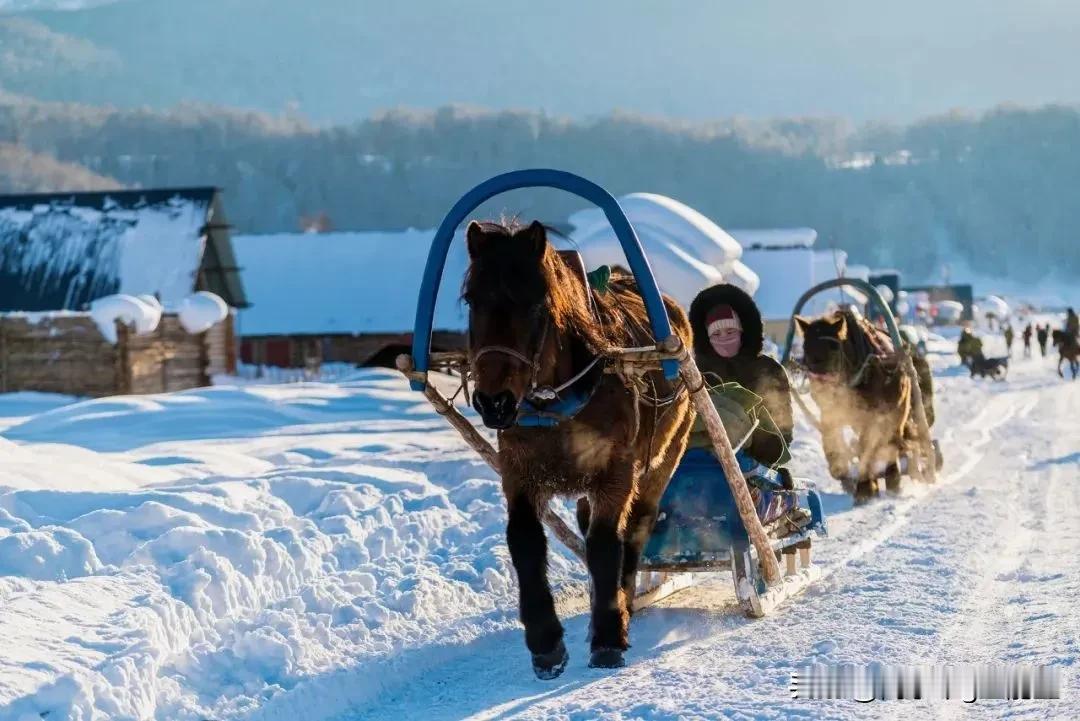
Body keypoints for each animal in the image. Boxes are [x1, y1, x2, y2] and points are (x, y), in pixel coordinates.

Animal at [462, 218, 691, 677]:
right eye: (471, 300)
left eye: (536, 304)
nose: (494, 402)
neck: (559, 404)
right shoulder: (519, 471)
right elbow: (524, 540)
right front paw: (546, 642)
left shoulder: (615, 470)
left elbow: (606, 543)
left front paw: (608, 635)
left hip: (665, 456)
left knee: (635, 528)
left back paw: (624, 601)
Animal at [794, 310, 928, 500]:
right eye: (805, 347)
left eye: (834, 347)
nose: (819, 381)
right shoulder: (832, 412)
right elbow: (833, 445)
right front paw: (846, 476)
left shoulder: (870, 417)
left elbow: (867, 447)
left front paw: (865, 487)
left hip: (897, 412)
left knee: (890, 441)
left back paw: (892, 479)